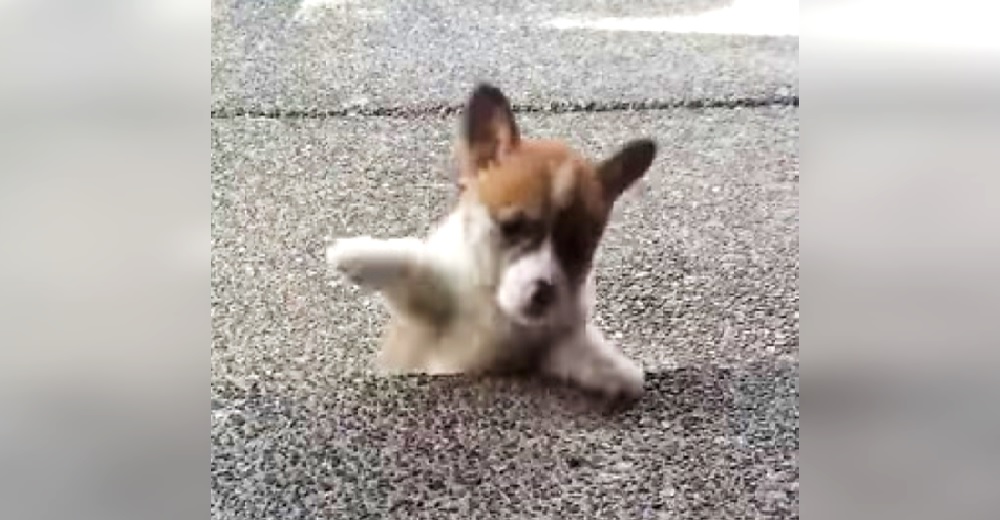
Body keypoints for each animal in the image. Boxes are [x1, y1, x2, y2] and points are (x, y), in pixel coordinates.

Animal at [324, 83, 660, 398]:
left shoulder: (545, 345)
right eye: (511, 227)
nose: (544, 294)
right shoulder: (430, 315)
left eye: (577, 247)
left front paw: (617, 370)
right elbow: (412, 261)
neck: (496, 309)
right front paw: (356, 254)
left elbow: (574, 346)